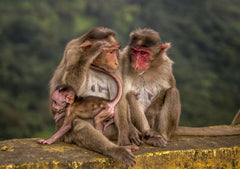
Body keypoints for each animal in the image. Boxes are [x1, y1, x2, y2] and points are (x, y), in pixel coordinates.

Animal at [47, 27, 136, 166]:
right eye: (110, 52)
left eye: (115, 51)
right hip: (64, 131)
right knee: (79, 125)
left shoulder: (116, 67)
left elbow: (120, 98)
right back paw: (115, 150)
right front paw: (92, 52)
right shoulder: (72, 52)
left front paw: (125, 138)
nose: (115, 61)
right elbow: (67, 88)